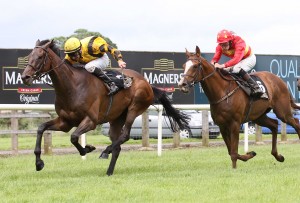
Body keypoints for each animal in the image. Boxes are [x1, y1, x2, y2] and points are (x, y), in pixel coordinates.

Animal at [21, 40, 190, 176]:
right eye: (29, 56)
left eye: (40, 57)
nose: (25, 77)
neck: (72, 87)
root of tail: (147, 83)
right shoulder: (65, 122)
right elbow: (41, 128)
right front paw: (39, 163)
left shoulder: (91, 121)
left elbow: (74, 137)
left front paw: (87, 148)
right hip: (116, 119)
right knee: (117, 145)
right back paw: (109, 171)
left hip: (134, 108)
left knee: (125, 136)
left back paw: (105, 151)